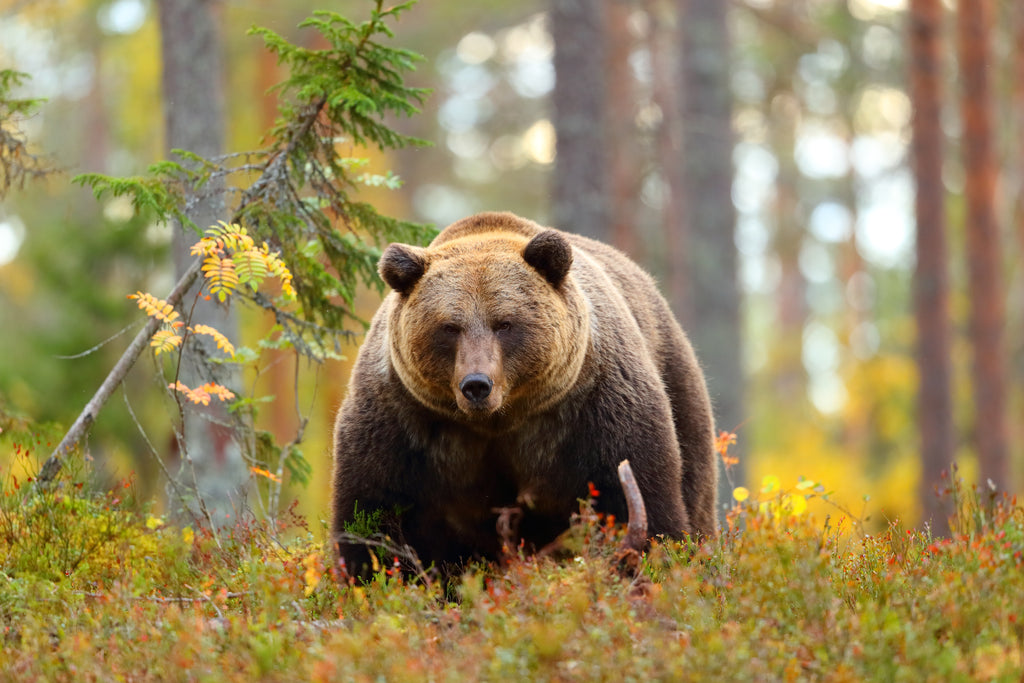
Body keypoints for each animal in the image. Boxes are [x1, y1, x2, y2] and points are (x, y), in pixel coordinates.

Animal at [331, 214, 716, 577]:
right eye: (449, 327)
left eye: (504, 323)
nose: (476, 384)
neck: (499, 420)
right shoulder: (403, 422)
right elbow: (373, 515)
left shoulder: (595, 408)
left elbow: (639, 498)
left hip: (677, 383)